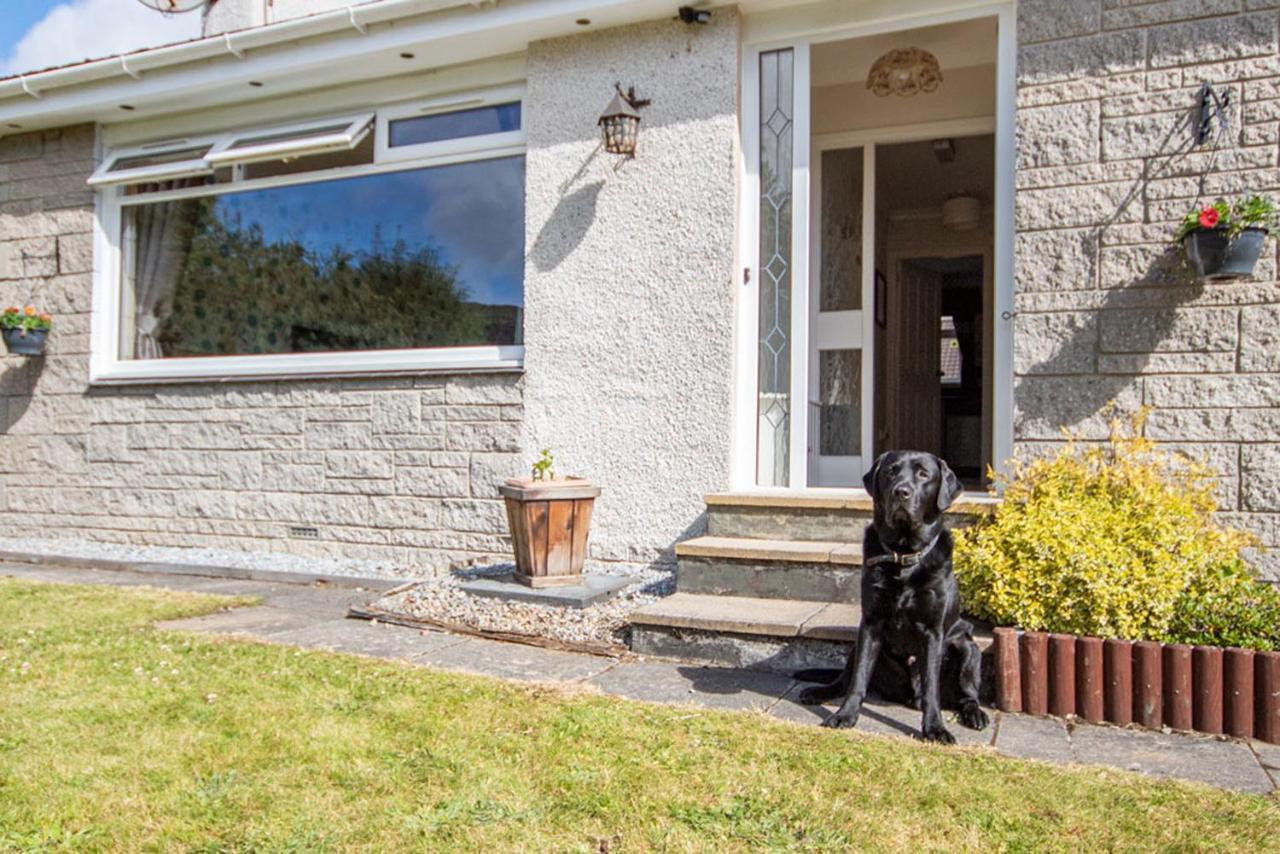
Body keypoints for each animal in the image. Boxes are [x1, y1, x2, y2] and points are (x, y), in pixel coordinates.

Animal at [798, 450, 988, 742]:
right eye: (890, 471)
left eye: (923, 474)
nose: (901, 492)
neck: (903, 555)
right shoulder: (870, 623)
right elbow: (858, 679)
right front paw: (845, 715)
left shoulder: (932, 631)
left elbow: (932, 687)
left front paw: (935, 728)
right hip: (855, 643)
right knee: (845, 678)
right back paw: (820, 691)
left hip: (968, 647)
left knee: (966, 694)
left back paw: (975, 714)